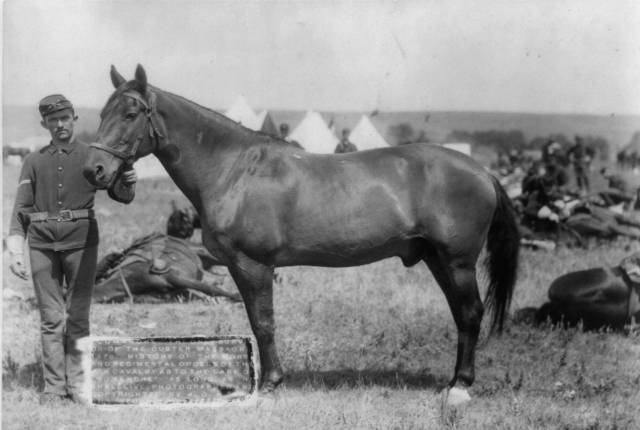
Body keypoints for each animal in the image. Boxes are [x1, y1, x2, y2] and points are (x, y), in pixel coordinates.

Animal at [82, 64, 520, 404]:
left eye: (131, 113)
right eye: (102, 112)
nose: (94, 170)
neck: (234, 170)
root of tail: (482, 172)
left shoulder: (254, 265)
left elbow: (263, 322)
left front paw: (270, 384)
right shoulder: (240, 267)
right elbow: (256, 319)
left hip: (457, 262)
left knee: (471, 312)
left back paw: (461, 387)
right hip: (435, 259)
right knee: (461, 314)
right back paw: (453, 381)